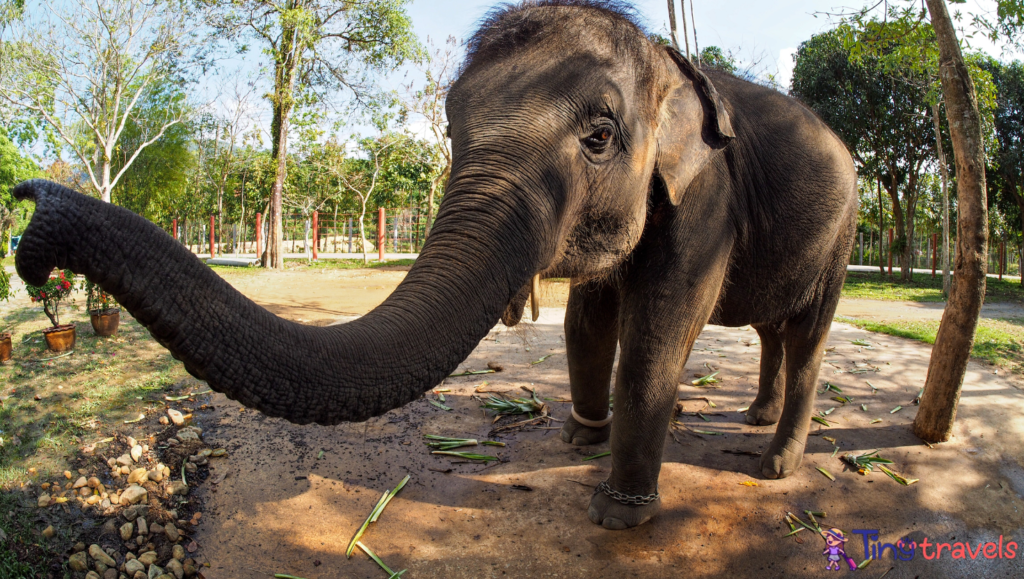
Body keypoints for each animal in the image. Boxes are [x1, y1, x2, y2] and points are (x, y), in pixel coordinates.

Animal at [14, 0, 856, 528]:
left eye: (599, 137)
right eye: (451, 129)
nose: (29, 210)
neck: (663, 59)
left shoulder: (709, 201)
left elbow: (656, 336)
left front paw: (620, 515)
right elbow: (589, 320)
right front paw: (580, 441)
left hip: (844, 234)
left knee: (810, 338)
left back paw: (775, 463)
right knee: (777, 333)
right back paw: (753, 417)